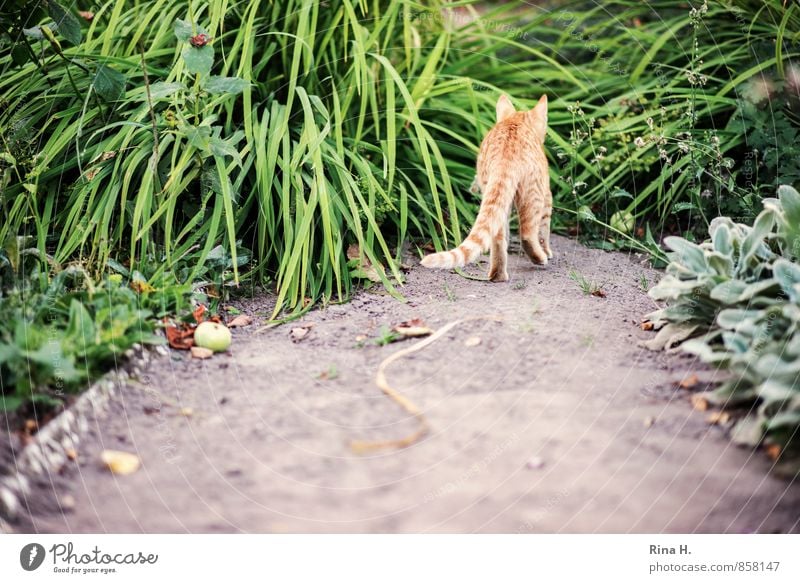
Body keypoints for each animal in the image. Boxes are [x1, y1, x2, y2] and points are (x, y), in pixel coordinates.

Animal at [422, 94, 552, 282]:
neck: (515, 120)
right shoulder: (547, 194)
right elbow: (544, 230)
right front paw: (547, 252)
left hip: (492, 192)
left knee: (497, 236)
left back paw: (498, 275)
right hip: (533, 194)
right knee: (527, 234)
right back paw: (539, 258)